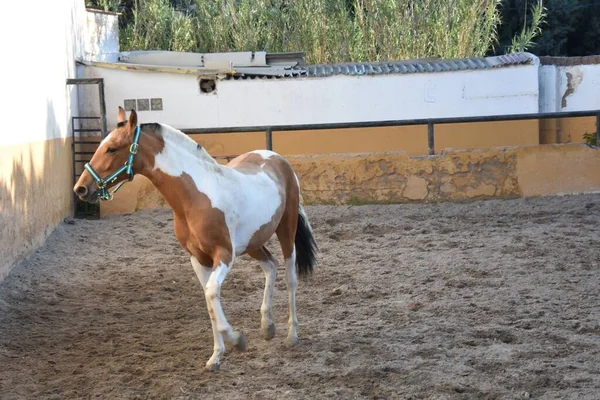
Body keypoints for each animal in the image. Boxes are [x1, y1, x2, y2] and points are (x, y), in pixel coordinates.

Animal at [74, 107, 318, 372]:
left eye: (112, 148)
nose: (81, 189)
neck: (196, 197)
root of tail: (277, 158)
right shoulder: (198, 259)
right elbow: (209, 301)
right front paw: (216, 357)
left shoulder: (224, 255)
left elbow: (212, 293)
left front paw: (237, 340)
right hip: (253, 242)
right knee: (270, 266)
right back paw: (267, 327)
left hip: (286, 230)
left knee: (290, 277)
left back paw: (292, 335)